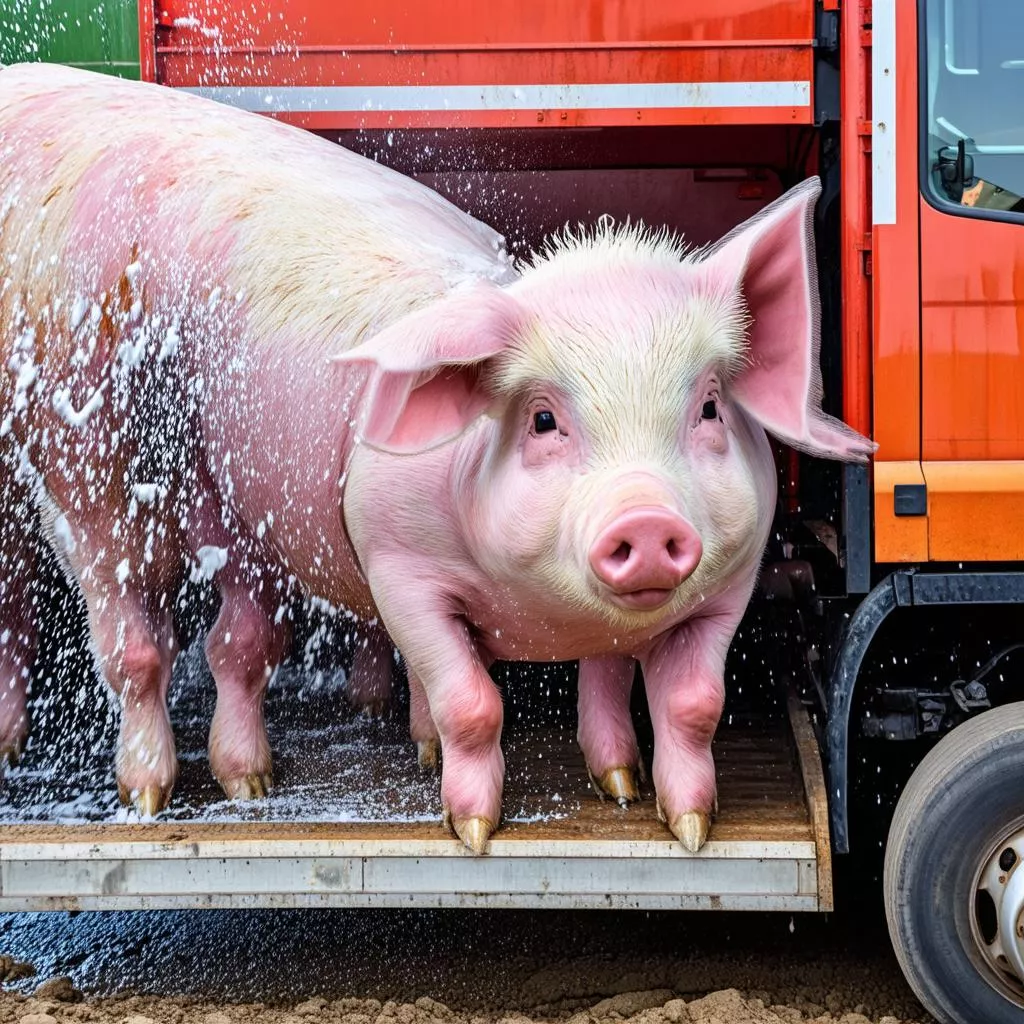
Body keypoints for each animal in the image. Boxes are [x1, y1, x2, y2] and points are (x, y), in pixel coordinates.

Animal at [0, 64, 874, 850]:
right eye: (544, 419)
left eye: (709, 408)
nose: (648, 517)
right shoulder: (398, 564)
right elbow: (473, 701)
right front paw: (475, 830)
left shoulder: (731, 580)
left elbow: (680, 699)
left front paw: (653, 807)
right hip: (76, 427)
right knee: (128, 628)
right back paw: (159, 795)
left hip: (232, 491)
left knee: (238, 640)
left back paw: (267, 776)